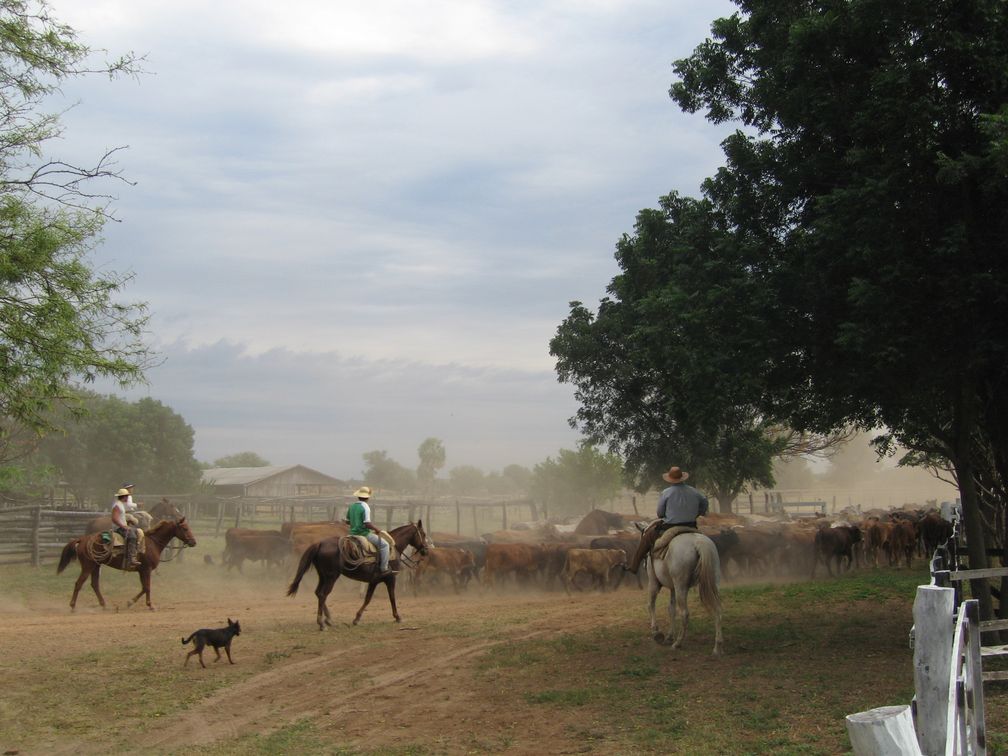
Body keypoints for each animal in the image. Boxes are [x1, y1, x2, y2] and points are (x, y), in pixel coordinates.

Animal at [56, 520, 198, 612]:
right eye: (185, 528)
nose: (193, 542)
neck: (152, 543)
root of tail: (82, 539)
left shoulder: (141, 570)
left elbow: (144, 587)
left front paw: (130, 602)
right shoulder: (147, 570)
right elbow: (147, 587)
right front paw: (150, 605)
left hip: (96, 566)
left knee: (94, 584)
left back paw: (104, 605)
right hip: (88, 566)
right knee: (79, 583)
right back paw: (73, 606)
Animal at [286, 520, 427, 633]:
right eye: (424, 534)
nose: (425, 550)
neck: (394, 546)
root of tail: (320, 543)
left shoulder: (374, 581)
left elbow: (368, 599)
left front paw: (357, 618)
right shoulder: (390, 579)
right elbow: (390, 597)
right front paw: (397, 617)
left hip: (323, 576)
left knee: (318, 593)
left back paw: (328, 620)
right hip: (331, 577)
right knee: (322, 594)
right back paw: (321, 623)